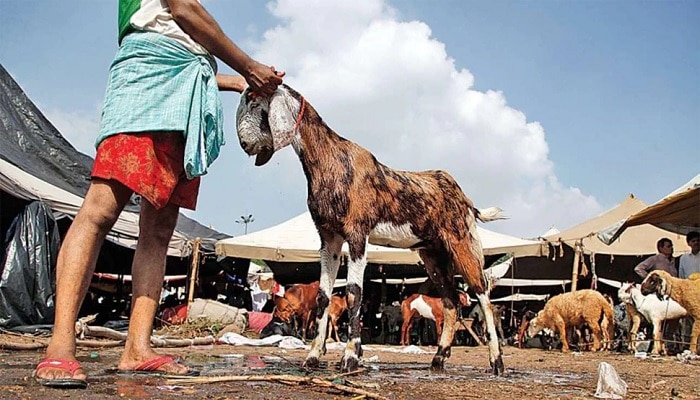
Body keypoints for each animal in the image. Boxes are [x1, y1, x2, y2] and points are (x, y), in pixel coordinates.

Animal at [238, 85, 506, 376]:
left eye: (254, 102)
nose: (244, 144)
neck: (331, 158)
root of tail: (464, 198)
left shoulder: (357, 234)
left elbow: (354, 293)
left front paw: (350, 358)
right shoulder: (329, 238)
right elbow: (323, 296)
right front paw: (313, 357)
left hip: (461, 243)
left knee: (483, 295)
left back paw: (496, 362)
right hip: (433, 254)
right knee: (451, 302)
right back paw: (438, 359)